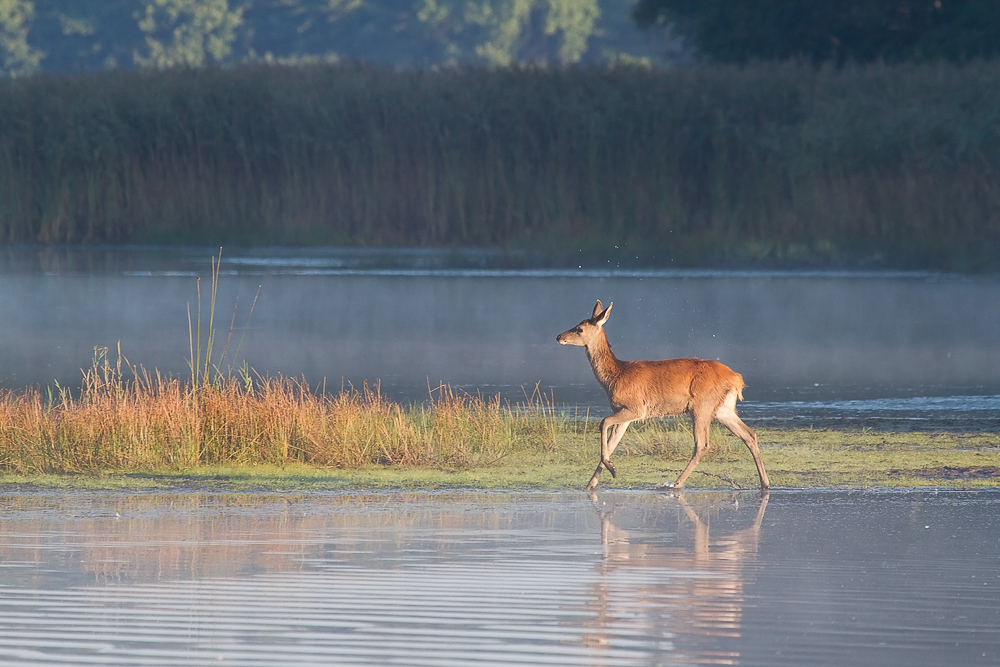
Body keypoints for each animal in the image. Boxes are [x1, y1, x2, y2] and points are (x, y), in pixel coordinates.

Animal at [556, 300, 764, 494]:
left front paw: (612, 469)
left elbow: (603, 422)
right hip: (723, 409)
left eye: (580, 328)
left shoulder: (636, 408)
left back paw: (676, 484)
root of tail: (736, 378)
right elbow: (612, 443)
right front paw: (591, 484)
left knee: (702, 445)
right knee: (749, 434)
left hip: (702, 406)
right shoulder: (624, 415)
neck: (615, 376)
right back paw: (765, 483)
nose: (559, 337)